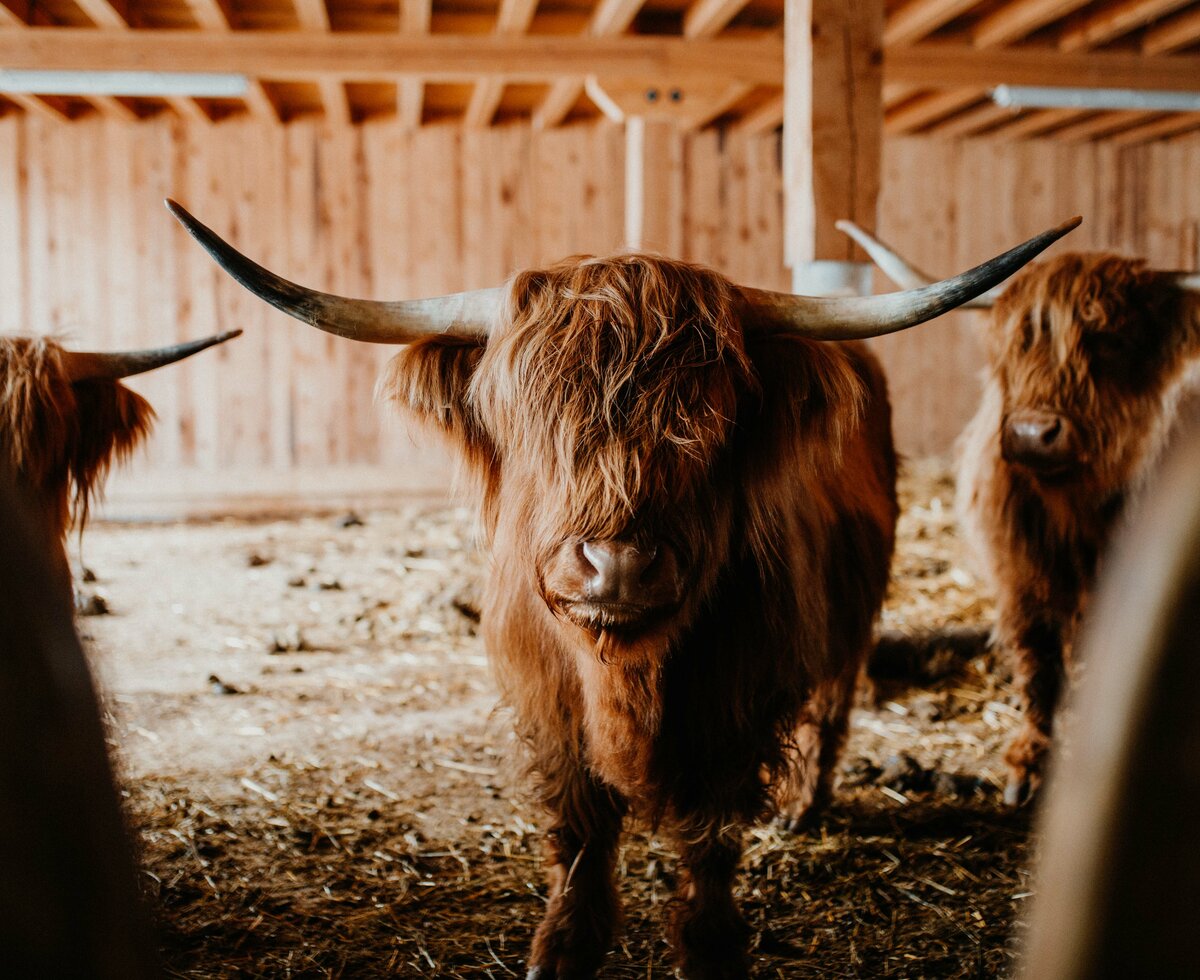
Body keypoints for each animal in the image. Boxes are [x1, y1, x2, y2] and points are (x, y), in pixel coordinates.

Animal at [171, 200, 1080, 978]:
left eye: (710, 423)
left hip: (852, 616)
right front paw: (562, 951)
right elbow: (578, 835)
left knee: (834, 698)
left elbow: (710, 846)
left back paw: (804, 804)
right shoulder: (545, 707)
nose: (616, 565)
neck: (627, 679)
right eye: (530, 413)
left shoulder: (739, 712)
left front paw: (711, 952)